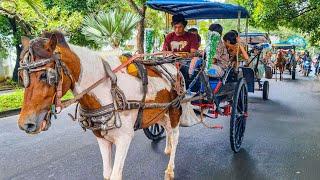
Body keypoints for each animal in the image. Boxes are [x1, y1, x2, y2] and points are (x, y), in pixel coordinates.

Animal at [17, 31, 199, 179]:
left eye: (46, 76)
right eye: (21, 77)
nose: (26, 124)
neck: (107, 91)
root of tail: (171, 65)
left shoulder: (124, 138)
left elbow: (115, 175)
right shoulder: (101, 138)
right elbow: (106, 174)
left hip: (174, 109)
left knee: (175, 135)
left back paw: (170, 168)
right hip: (160, 111)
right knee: (166, 128)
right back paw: (167, 147)